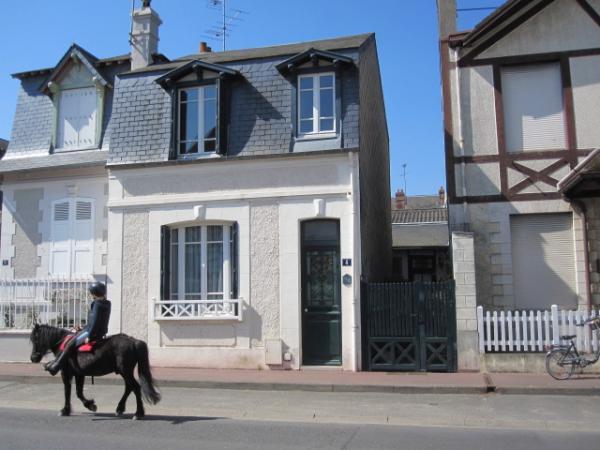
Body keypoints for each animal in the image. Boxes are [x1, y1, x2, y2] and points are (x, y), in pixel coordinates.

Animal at [29, 324, 161, 418]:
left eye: (36, 339)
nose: (33, 358)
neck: (63, 344)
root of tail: (134, 341)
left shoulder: (66, 373)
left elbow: (68, 391)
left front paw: (65, 410)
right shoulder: (79, 374)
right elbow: (78, 392)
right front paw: (90, 405)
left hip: (125, 371)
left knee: (135, 387)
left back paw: (138, 413)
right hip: (124, 372)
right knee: (129, 387)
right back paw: (120, 408)